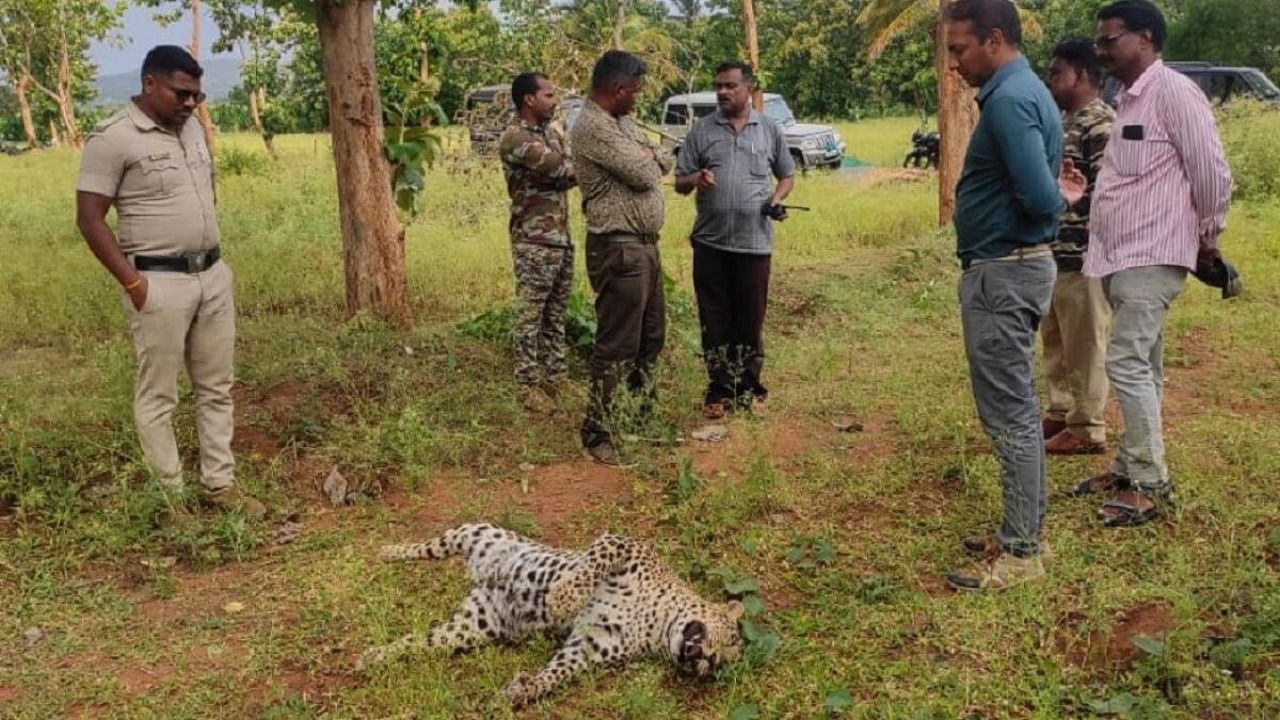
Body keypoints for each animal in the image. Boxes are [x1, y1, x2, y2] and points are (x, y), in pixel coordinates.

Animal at [355, 520, 747, 702]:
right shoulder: (623, 544)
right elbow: (592, 564)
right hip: (472, 533)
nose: (706, 662)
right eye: (729, 639)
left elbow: (557, 673)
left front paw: (524, 689)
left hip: (471, 627)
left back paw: (374, 656)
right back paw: (388, 551)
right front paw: (562, 597)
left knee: (419, 642)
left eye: (718, 667)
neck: (656, 623)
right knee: (427, 548)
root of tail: (484, 580)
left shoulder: (589, 646)